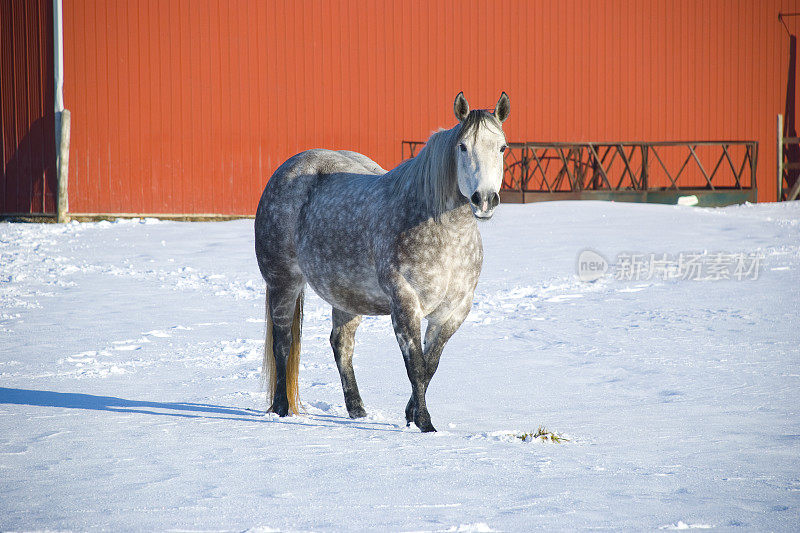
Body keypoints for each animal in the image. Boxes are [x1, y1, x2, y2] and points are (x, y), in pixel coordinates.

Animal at [253, 92, 510, 432]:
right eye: (463, 146)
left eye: (502, 147)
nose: (484, 200)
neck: (445, 234)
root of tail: (286, 170)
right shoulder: (405, 303)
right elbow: (415, 366)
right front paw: (425, 424)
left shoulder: (453, 311)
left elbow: (430, 366)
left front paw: (411, 416)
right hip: (283, 282)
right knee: (282, 343)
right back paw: (281, 408)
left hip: (346, 296)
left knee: (341, 345)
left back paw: (358, 411)